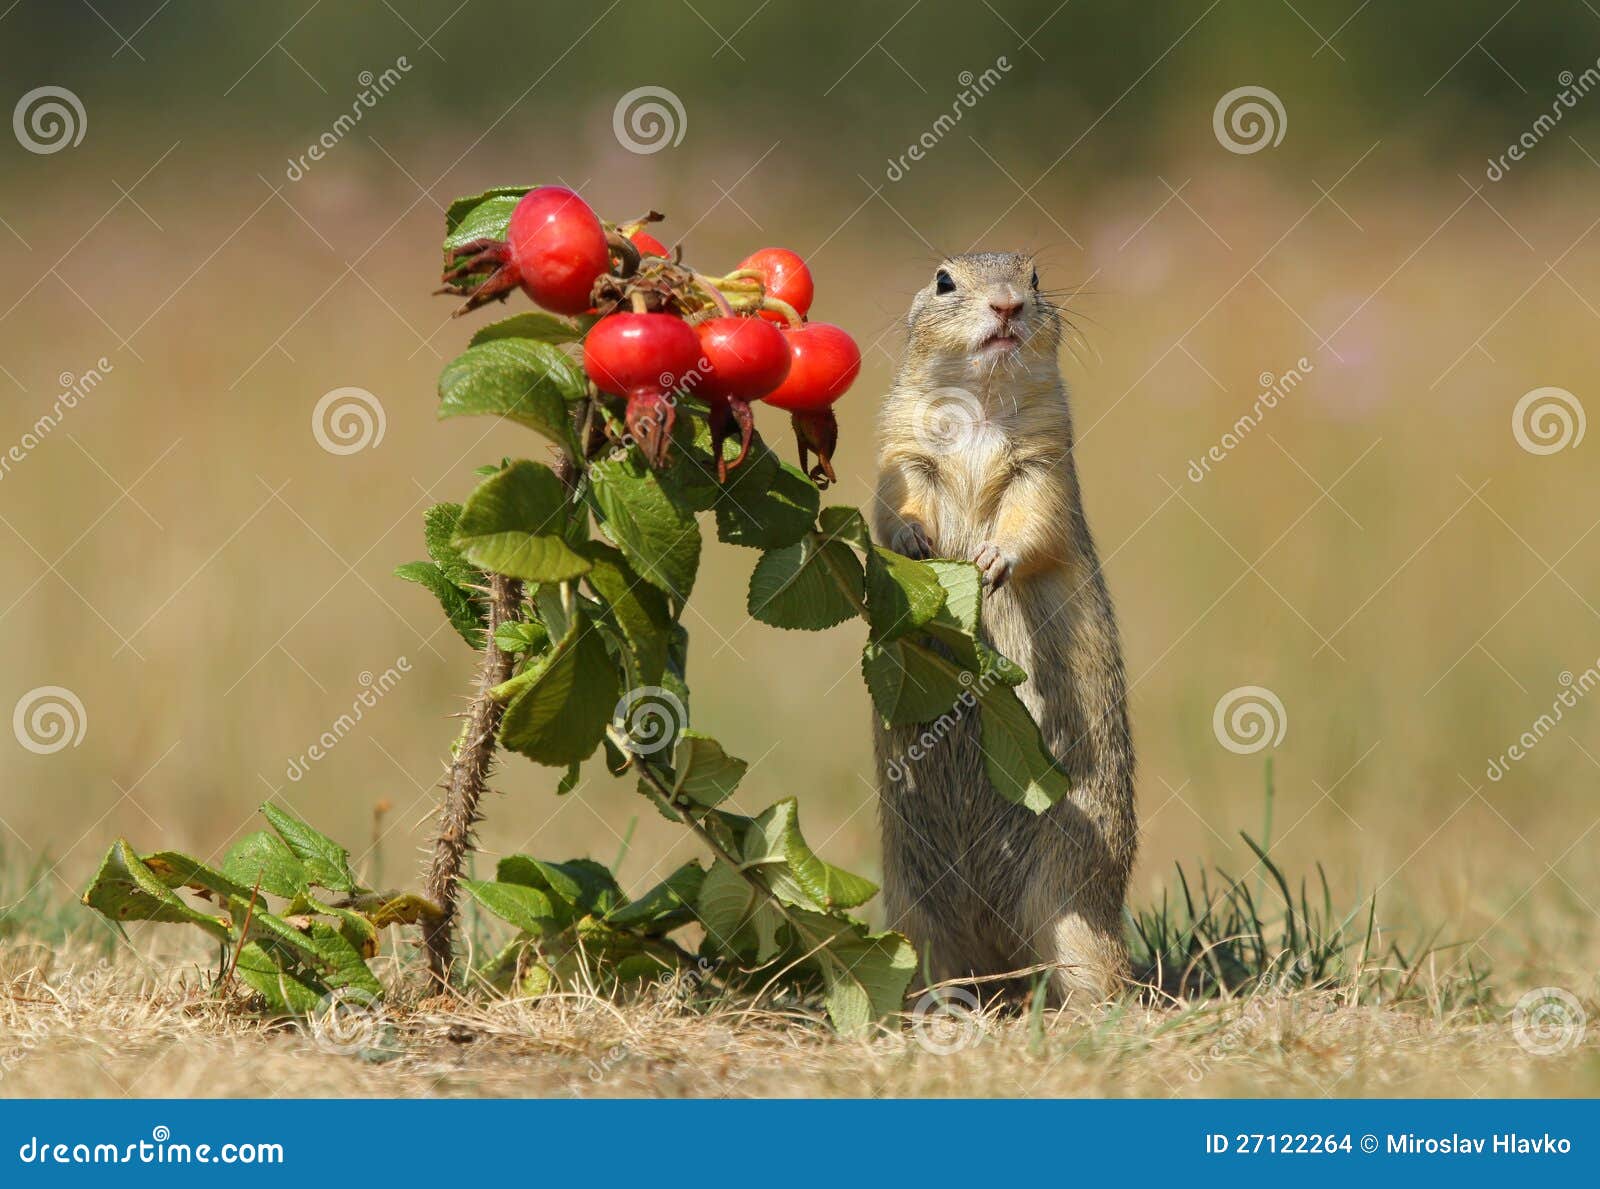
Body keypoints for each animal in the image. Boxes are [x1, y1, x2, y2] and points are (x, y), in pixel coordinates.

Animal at [872, 252, 1137, 1005]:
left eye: (1036, 276)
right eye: (943, 281)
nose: (1008, 305)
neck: (981, 407)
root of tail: (1000, 960)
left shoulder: (1045, 461)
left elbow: (1033, 518)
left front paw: (993, 560)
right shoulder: (901, 448)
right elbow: (892, 501)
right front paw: (918, 539)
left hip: (1071, 905)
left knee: (1106, 977)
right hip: (913, 915)